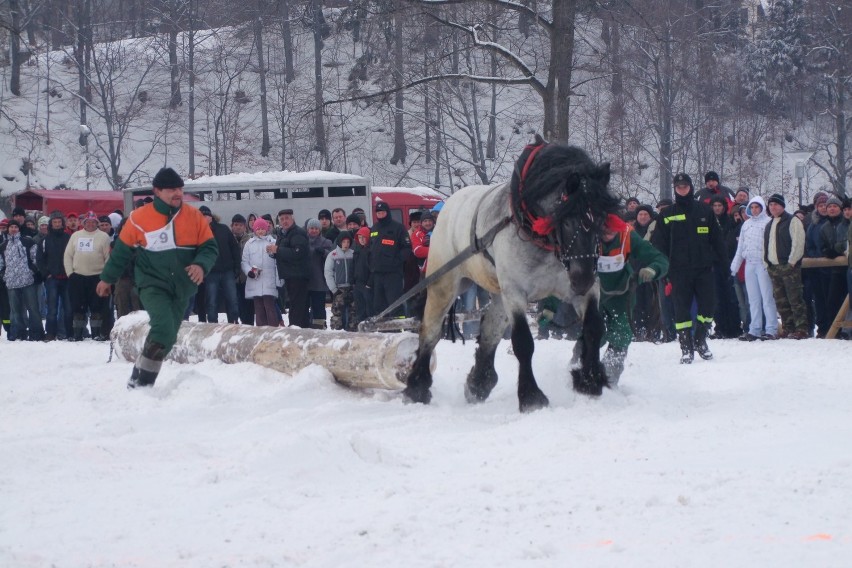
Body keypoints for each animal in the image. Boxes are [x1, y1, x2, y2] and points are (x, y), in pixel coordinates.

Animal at [402, 139, 624, 410]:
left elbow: (593, 327)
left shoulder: (582, 291)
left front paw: (590, 381)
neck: (543, 239)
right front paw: (531, 397)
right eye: (567, 221)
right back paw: (417, 387)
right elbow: (523, 342)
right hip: (445, 284)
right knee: (431, 331)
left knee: (490, 332)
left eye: (602, 219)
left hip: (498, 293)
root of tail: (448, 205)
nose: (582, 279)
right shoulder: (516, 292)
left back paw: (480, 382)